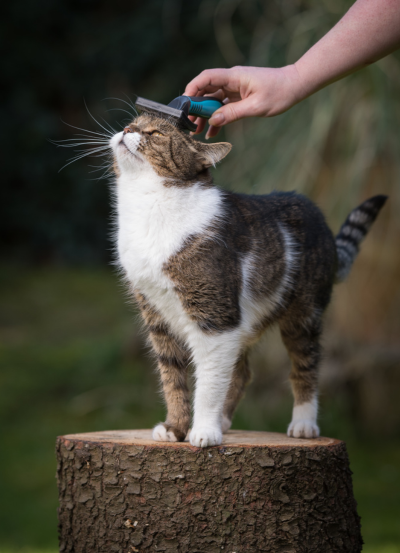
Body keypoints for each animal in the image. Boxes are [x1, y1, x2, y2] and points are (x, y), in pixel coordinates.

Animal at [109, 111, 388, 444]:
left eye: (156, 134)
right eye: (133, 123)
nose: (127, 129)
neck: (149, 204)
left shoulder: (215, 317)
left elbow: (208, 382)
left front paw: (204, 431)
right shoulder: (158, 316)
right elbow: (172, 378)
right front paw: (175, 428)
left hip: (302, 316)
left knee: (304, 366)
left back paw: (303, 424)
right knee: (241, 372)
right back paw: (224, 420)